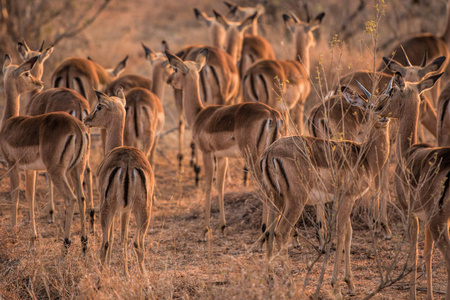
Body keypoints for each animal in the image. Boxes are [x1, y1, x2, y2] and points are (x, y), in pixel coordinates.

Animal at [1, 55, 89, 251]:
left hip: (56, 171)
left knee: (70, 198)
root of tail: (77, 127)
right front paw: (33, 239)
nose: (39, 83)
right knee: (81, 197)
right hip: (76, 169)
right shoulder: (30, 170)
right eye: (27, 73)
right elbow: (30, 197)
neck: (10, 122)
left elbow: (15, 196)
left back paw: (66, 244)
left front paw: (13, 234)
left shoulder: (12, 165)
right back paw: (84, 243)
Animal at [84, 88, 155, 276]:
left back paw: (102, 275)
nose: (87, 119)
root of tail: (128, 163)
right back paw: (144, 279)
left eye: (99, 106)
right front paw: (126, 272)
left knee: (105, 243)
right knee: (138, 243)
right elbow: (123, 237)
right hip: (143, 209)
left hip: (107, 208)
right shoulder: (126, 210)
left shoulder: (115, 208)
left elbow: (112, 237)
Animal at [165, 49, 284, 240]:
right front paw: (222, 226)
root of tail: (272, 114)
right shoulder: (222, 157)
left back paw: (265, 232)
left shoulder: (206, 153)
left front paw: (205, 229)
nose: (169, 80)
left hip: (253, 158)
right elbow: (220, 186)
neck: (199, 115)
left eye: (175, 69)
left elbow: (208, 185)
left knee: (267, 189)